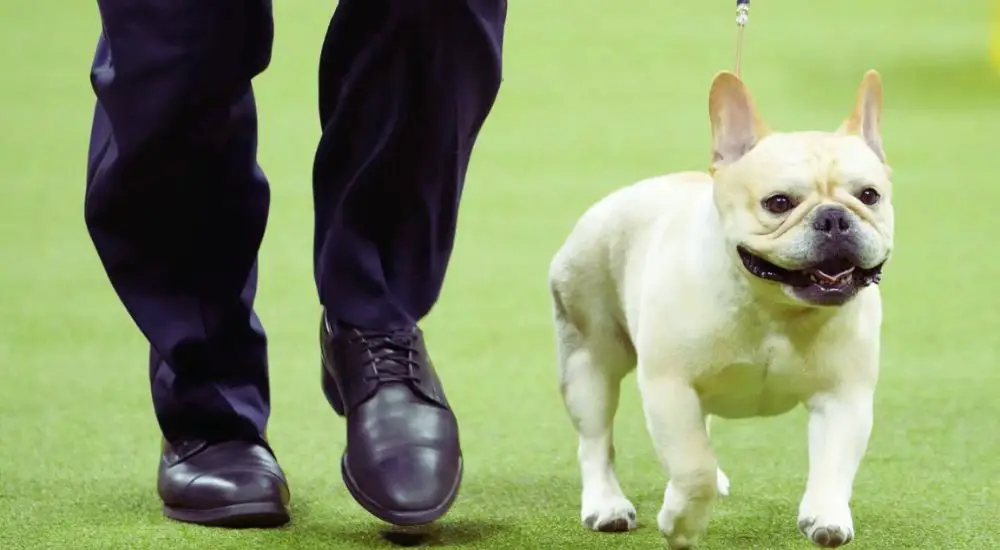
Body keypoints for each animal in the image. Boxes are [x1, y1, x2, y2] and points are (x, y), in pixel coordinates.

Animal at [548, 71, 892, 548]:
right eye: (778, 203)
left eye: (870, 195)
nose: (834, 218)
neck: (774, 307)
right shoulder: (670, 388)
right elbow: (694, 469)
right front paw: (681, 523)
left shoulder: (844, 396)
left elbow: (834, 461)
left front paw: (825, 515)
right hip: (589, 362)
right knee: (596, 441)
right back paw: (606, 505)